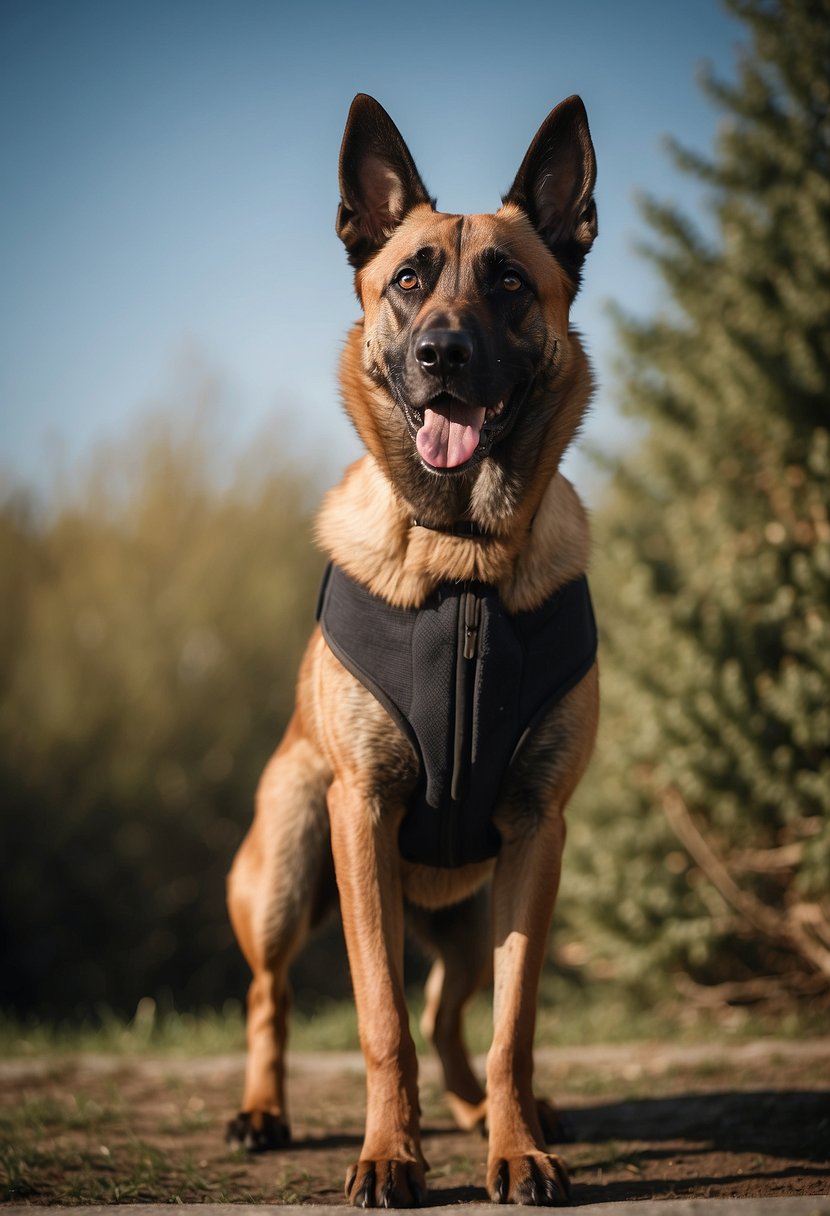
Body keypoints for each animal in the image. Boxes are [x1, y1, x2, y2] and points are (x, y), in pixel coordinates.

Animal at [227, 94, 600, 1206]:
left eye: (510, 283)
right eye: (408, 279)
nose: (441, 355)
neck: (461, 561)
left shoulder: (537, 835)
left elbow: (512, 1029)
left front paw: (514, 1148)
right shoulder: (360, 815)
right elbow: (379, 1021)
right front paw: (389, 1154)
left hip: (474, 923)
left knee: (452, 1019)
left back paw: (488, 1118)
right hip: (289, 868)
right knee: (271, 997)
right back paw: (262, 1110)